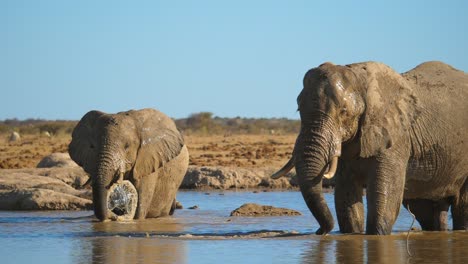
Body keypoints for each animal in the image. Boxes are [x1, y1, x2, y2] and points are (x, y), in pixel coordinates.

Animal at [270, 60, 468, 234]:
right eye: (298, 109)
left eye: (343, 112)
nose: (320, 231)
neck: (359, 77)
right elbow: (346, 195)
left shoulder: (395, 137)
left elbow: (384, 196)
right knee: (426, 211)